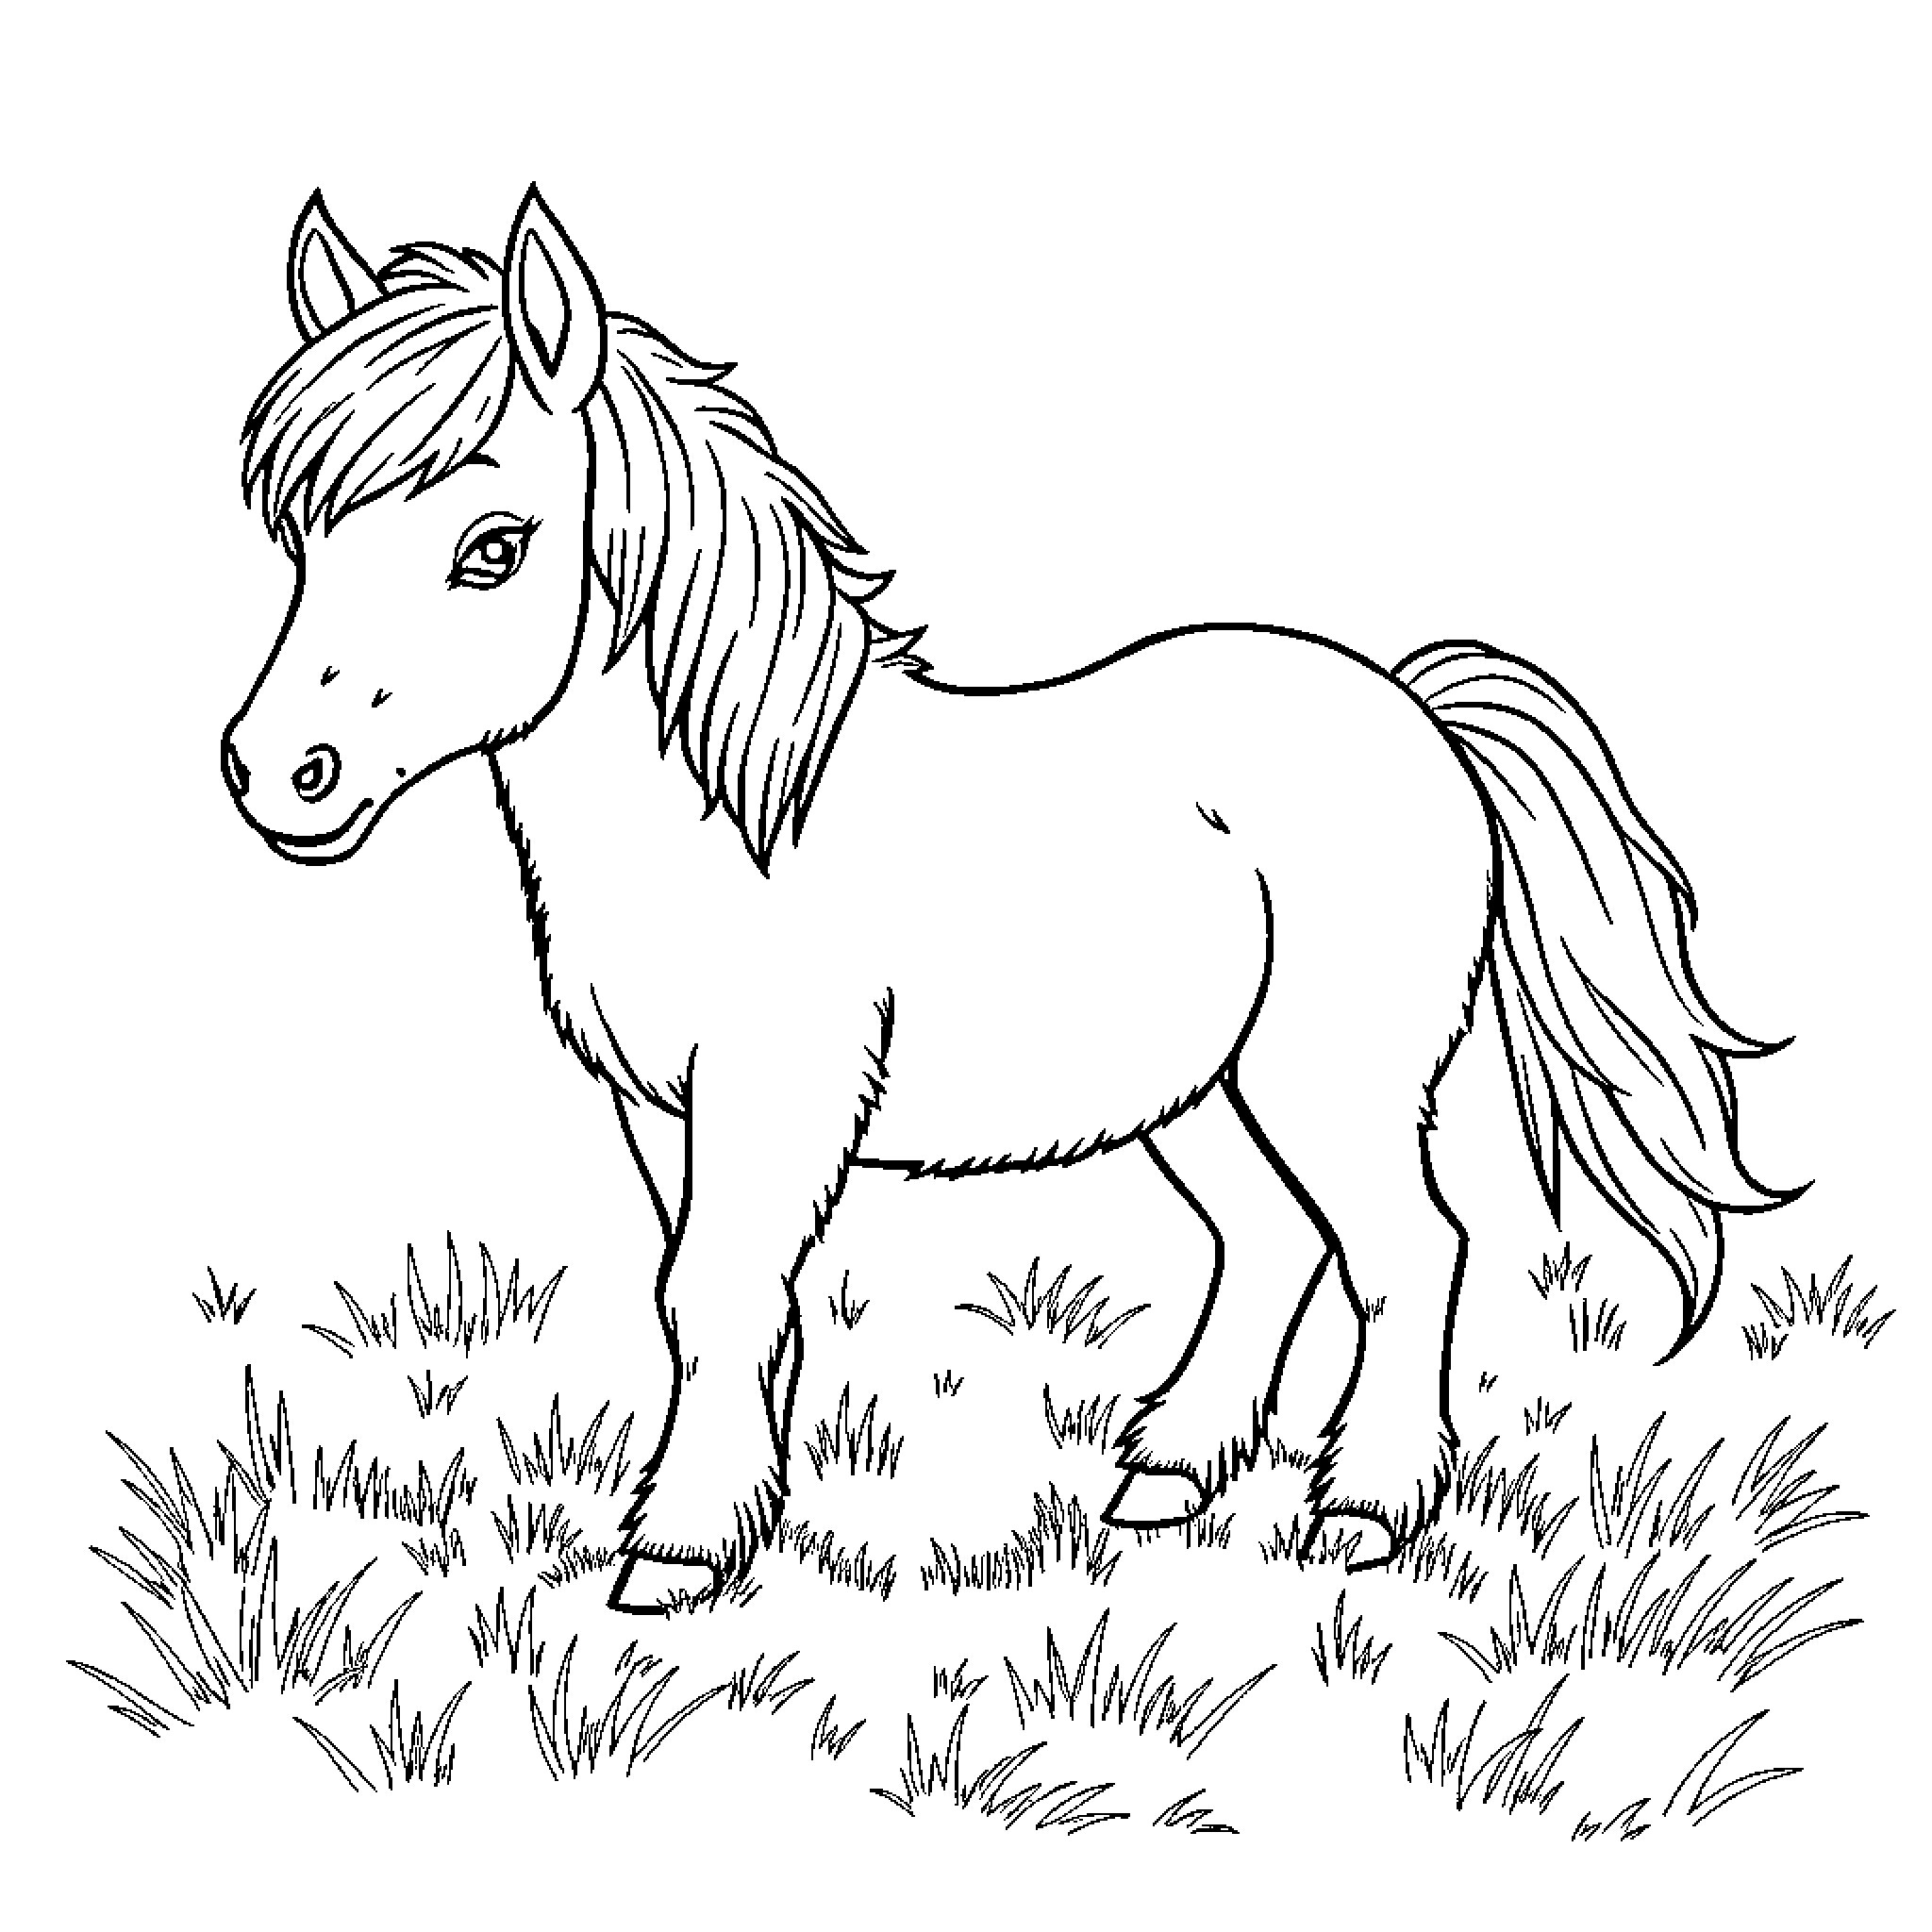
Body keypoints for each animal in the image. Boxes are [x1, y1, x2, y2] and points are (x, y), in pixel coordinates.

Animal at [222, 185, 1795, 1614]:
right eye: (300, 539)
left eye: (494, 547)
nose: (277, 776)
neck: (736, 820)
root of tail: (1412, 707)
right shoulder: (667, 1107)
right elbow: (717, 1301)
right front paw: (740, 1519)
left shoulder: (775, 1089)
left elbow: (713, 1291)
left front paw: (674, 1553)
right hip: (1198, 1091)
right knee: (1270, 1238)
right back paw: (1167, 1474)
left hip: (1326, 1076)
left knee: (1410, 1248)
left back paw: (1366, 1510)